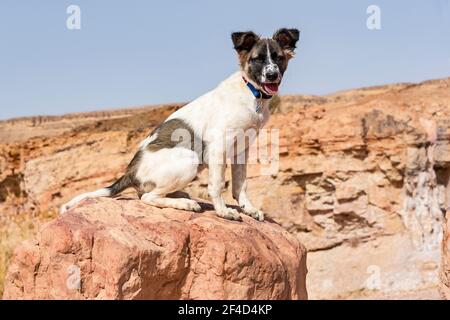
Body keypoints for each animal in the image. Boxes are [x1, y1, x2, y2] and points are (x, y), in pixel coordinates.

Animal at [59, 28, 298, 220]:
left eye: (278, 58)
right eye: (258, 59)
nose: (272, 75)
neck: (251, 94)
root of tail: (131, 172)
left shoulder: (242, 148)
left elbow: (241, 184)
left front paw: (248, 209)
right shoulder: (219, 147)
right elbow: (217, 185)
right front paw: (223, 211)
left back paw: (181, 195)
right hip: (189, 159)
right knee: (147, 197)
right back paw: (185, 203)